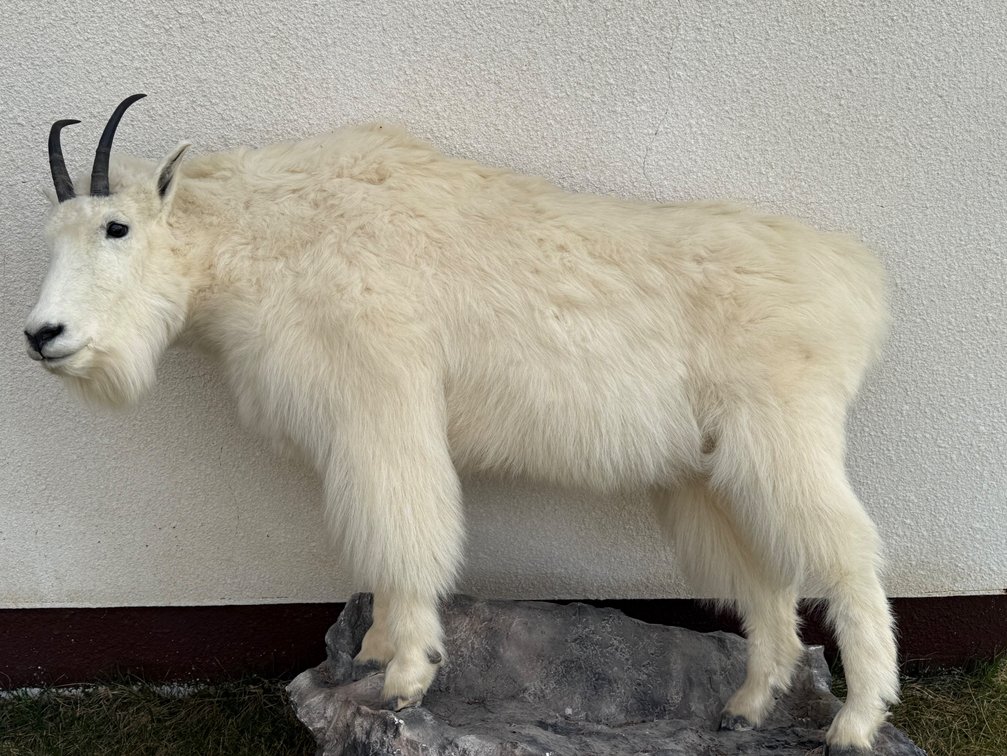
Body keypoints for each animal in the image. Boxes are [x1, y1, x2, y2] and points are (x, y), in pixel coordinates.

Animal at [25, 95, 898, 754]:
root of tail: (858, 281)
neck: (275, 236)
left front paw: (404, 679)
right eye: (53, 237)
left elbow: (402, 527)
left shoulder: (381, 406)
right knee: (767, 579)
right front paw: (373, 651)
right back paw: (744, 709)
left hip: (783, 437)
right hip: (710, 470)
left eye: (116, 227)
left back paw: (854, 723)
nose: (42, 336)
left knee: (849, 557)